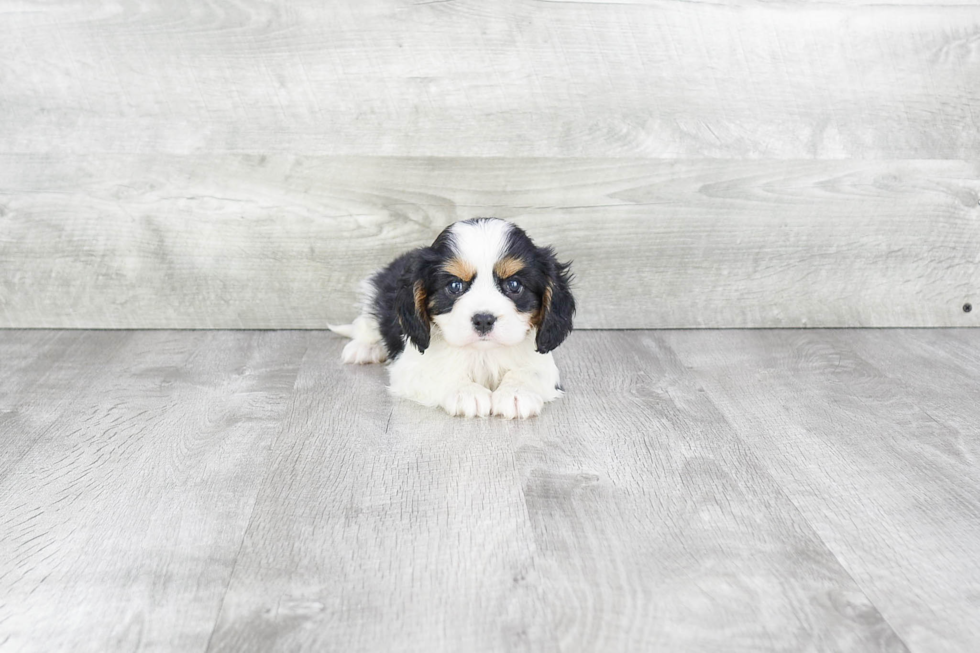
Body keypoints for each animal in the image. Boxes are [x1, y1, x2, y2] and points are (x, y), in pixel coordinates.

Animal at [330, 216, 576, 416]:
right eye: (455, 286)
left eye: (514, 285)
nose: (484, 319)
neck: (482, 353)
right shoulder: (410, 367)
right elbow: (440, 372)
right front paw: (466, 392)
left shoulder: (543, 365)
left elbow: (529, 372)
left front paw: (516, 393)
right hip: (376, 292)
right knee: (367, 323)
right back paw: (365, 348)